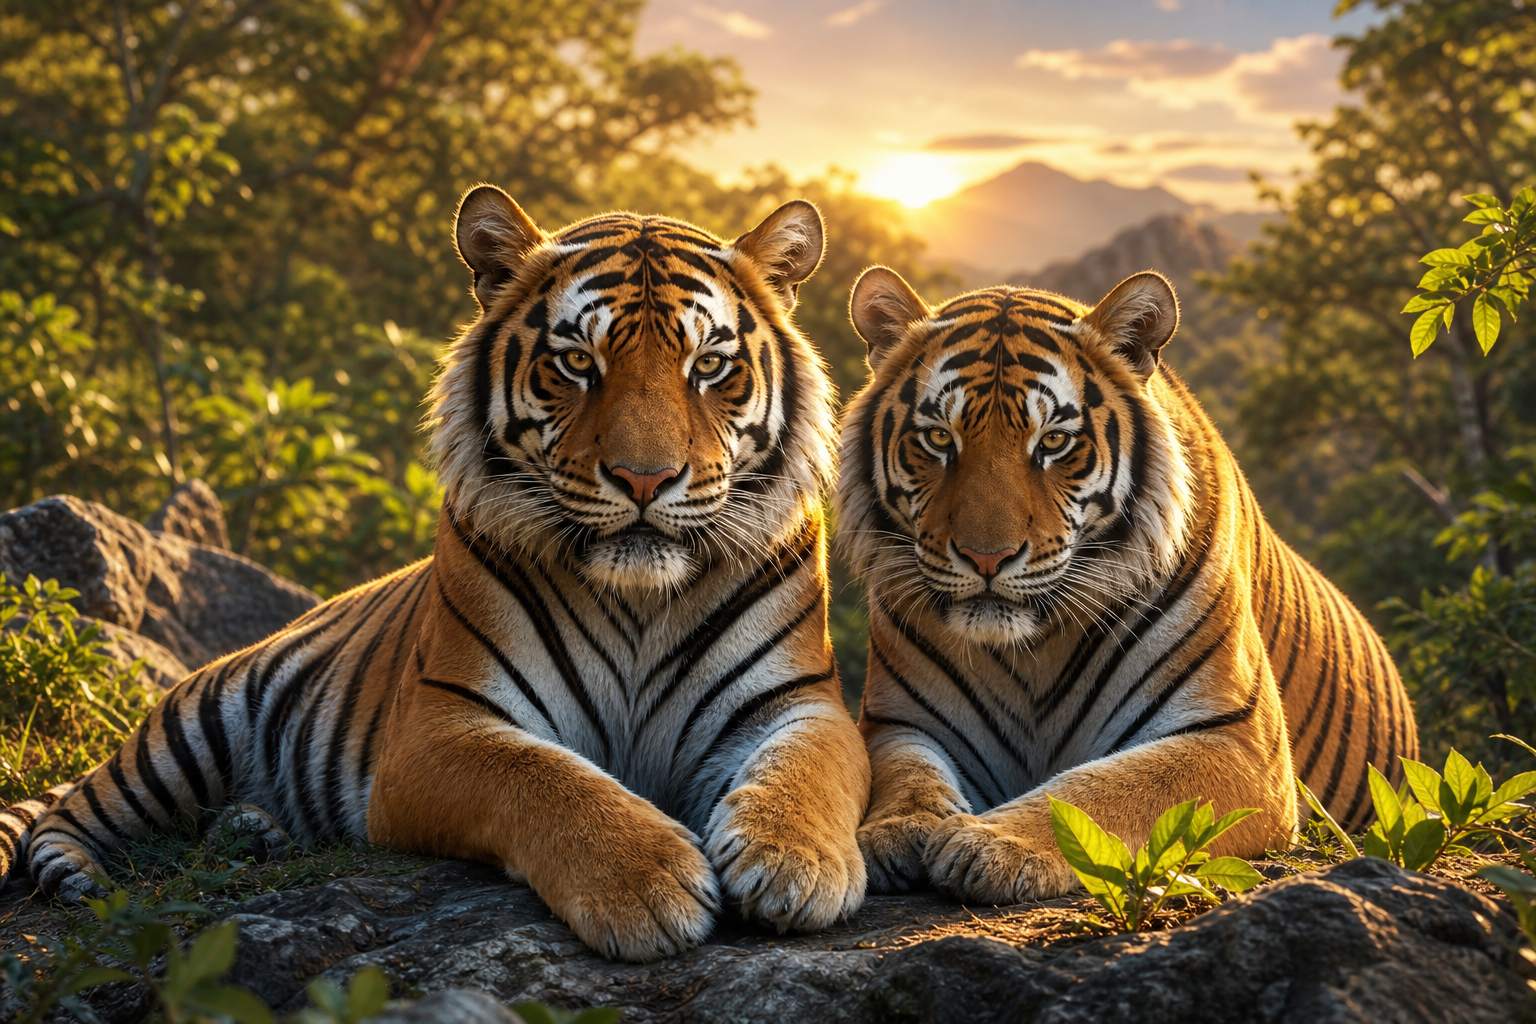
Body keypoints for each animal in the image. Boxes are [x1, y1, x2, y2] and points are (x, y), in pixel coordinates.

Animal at [0, 186, 871, 962]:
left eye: (710, 366)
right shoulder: (437, 729)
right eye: (576, 363)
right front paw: (648, 881)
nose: (645, 478)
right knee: (71, 810)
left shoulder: (799, 703)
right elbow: (546, 781)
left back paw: (254, 829)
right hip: (186, 729)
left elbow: (805, 775)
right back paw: (79, 871)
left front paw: (794, 865)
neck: (639, 602)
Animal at [837, 266, 1418, 902]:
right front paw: (899, 830)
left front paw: (989, 843)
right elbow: (909, 776)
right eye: (940, 439)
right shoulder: (902, 721)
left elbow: (1100, 791)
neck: (1032, 653)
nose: (987, 557)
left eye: (1054, 442)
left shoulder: (1235, 739)